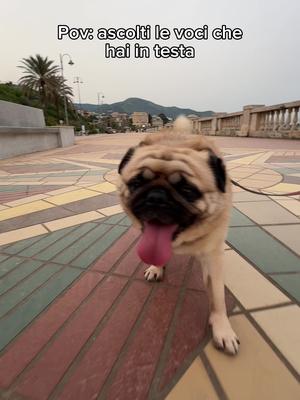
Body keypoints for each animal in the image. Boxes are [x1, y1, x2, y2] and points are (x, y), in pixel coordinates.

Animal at [117, 117, 239, 354]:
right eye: (136, 183)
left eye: (187, 191)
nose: (156, 196)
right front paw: (157, 268)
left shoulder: (213, 258)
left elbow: (217, 297)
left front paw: (223, 328)